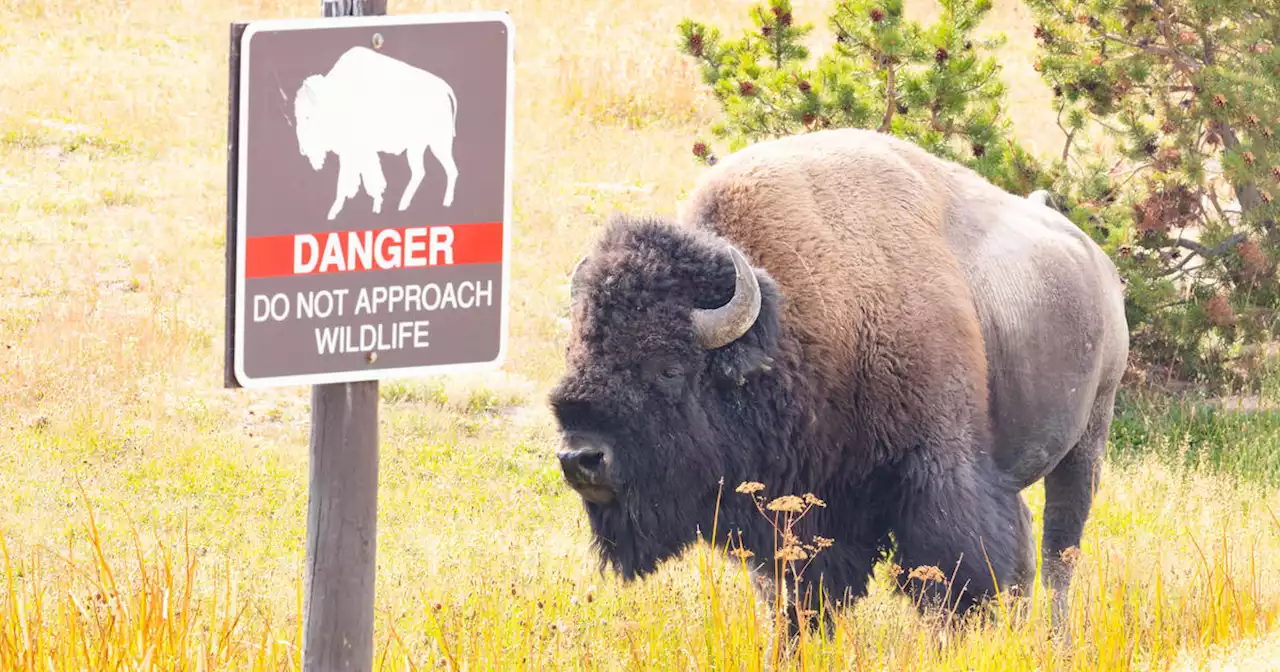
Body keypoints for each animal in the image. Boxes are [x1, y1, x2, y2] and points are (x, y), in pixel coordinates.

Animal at [550, 127, 1131, 634]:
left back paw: (1053, 636)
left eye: (670, 368)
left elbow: (954, 574)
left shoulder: (937, 472)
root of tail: (1097, 264)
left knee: (1059, 549)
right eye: (576, 353)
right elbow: (794, 593)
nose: (581, 458)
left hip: (1087, 441)